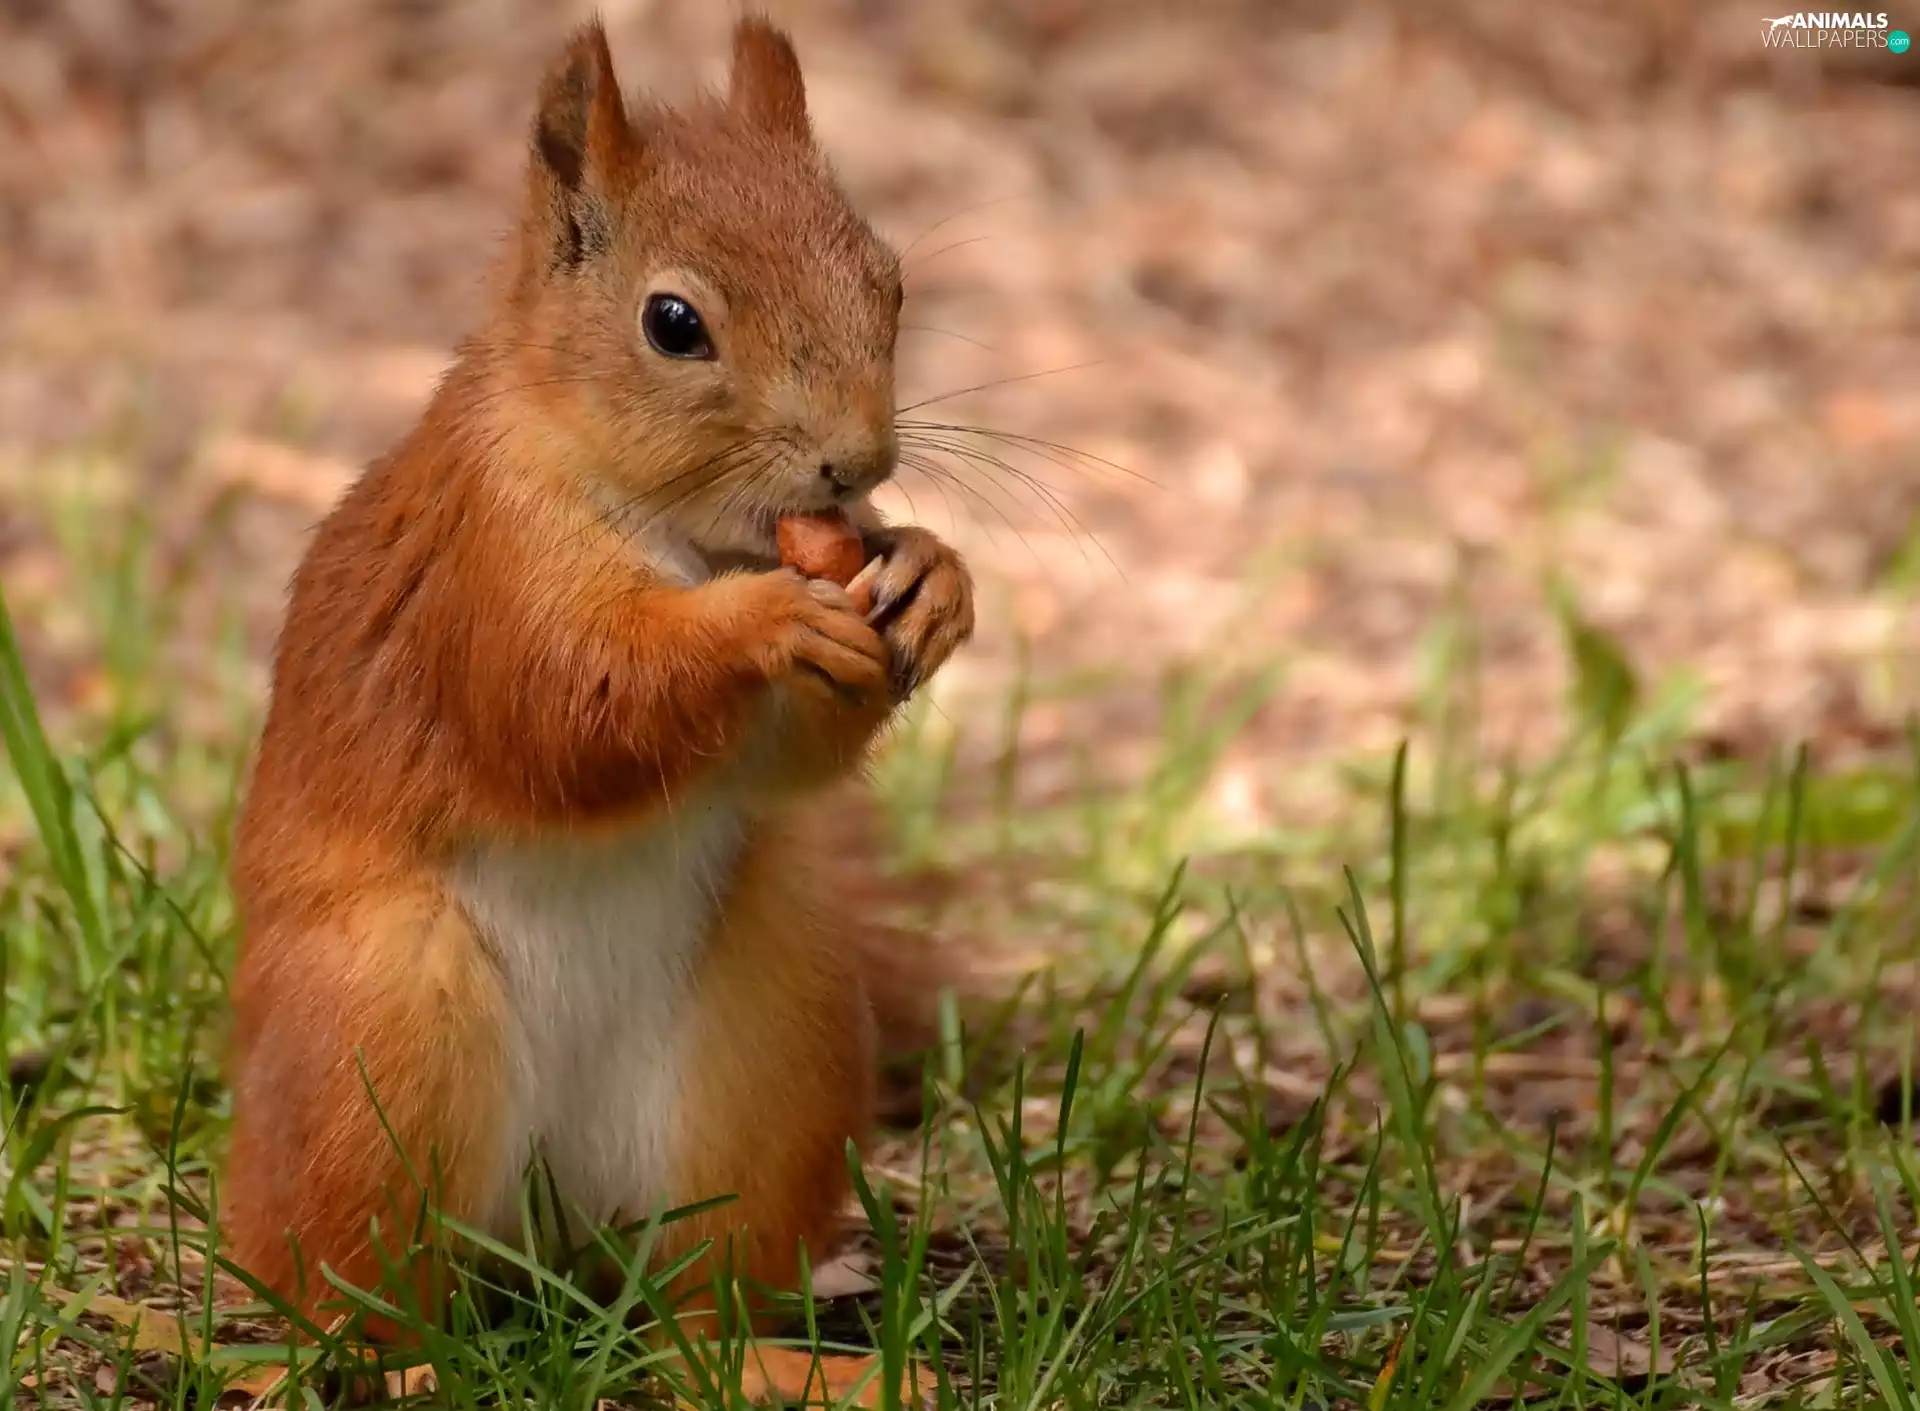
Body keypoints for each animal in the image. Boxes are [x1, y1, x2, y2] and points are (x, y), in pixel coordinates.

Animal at [222, 16, 973, 1406]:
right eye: (673, 323)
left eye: (890, 281)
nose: (857, 465)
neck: (684, 533)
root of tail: (546, 1237)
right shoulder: (485, 572)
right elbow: (569, 708)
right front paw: (757, 624)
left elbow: (779, 762)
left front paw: (933, 576)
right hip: (380, 1041)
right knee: (354, 1283)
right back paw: (405, 1368)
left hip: (775, 1035)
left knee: (692, 1307)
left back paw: (779, 1363)